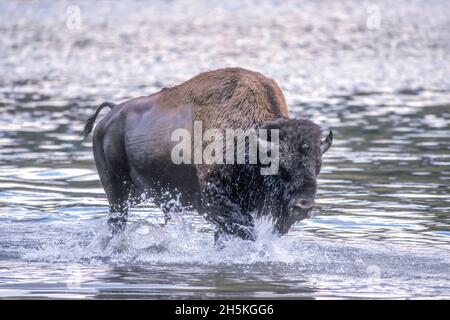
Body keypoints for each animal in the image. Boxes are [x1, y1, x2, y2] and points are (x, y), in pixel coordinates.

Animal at [82, 68, 332, 242]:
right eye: (281, 169)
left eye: (318, 168)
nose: (304, 206)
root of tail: (109, 116)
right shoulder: (215, 200)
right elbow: (245, 229)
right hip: (117, 194)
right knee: (117, 221)